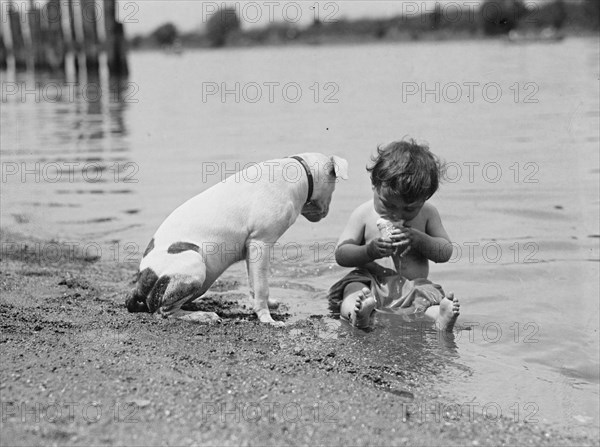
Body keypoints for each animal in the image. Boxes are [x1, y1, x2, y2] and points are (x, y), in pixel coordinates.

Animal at [127, 154, 352, 326]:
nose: (326, 213)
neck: (302, 173)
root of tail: (141, 281)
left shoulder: (250, 249)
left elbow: (254, 283)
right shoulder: (261, 243)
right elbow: (262, 286)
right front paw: (268, 319)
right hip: (194, 263)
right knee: (164, 310)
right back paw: (204, 315)